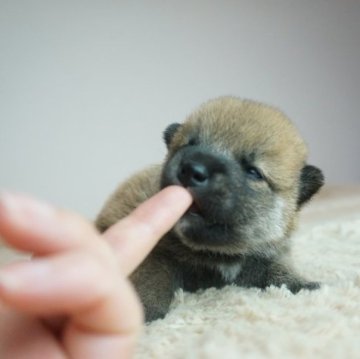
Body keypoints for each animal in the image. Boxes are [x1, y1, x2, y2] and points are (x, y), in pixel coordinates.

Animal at [95, 96, 324, 324]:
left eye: (253, 172)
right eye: (189, 144)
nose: (192, 170)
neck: (217, 254)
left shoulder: (265, 257)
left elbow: (280, 271)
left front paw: (306, 285)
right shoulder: (156, 253)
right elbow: (152, 278)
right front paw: (143, 308)